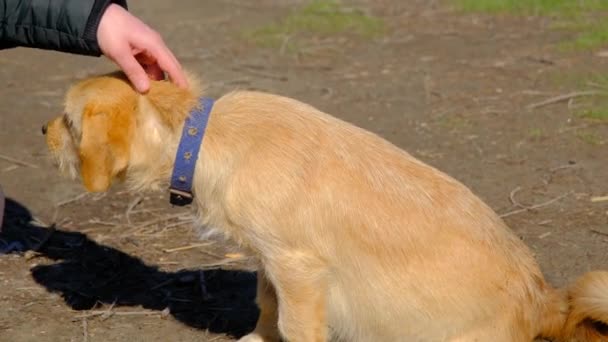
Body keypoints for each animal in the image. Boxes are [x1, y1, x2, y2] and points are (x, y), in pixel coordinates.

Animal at [42, 71, 608, 340]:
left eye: (68, 122)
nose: (41, 129)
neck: (202, 140)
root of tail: (544, 300)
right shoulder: (270, 261)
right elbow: (266, 306)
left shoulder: (299, 267)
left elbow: (296, 325)